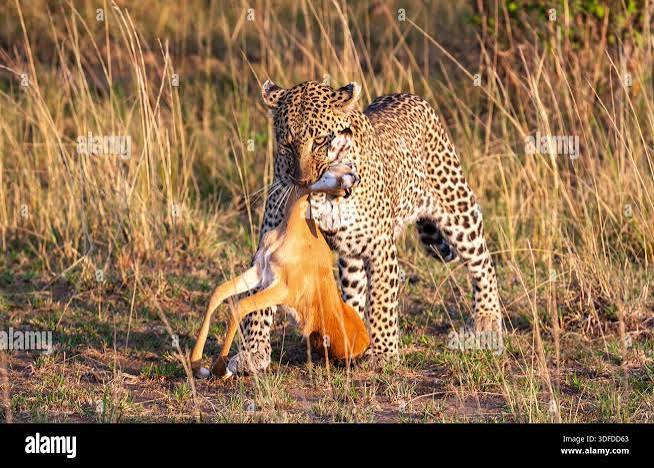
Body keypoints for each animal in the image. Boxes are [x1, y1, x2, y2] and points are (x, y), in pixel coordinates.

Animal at [223, 78, 502, 375]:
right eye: (286, 145)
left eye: (320, 141)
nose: (303, 181)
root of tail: (409, 95)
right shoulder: (273, 240)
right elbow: (257, 304)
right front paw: (252, 353)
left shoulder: (380, 246)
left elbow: (381, 299)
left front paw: (383, 354)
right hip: (353, 253)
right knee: (354, 287)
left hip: (456, 207)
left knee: (481, 259)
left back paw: (487, 319)